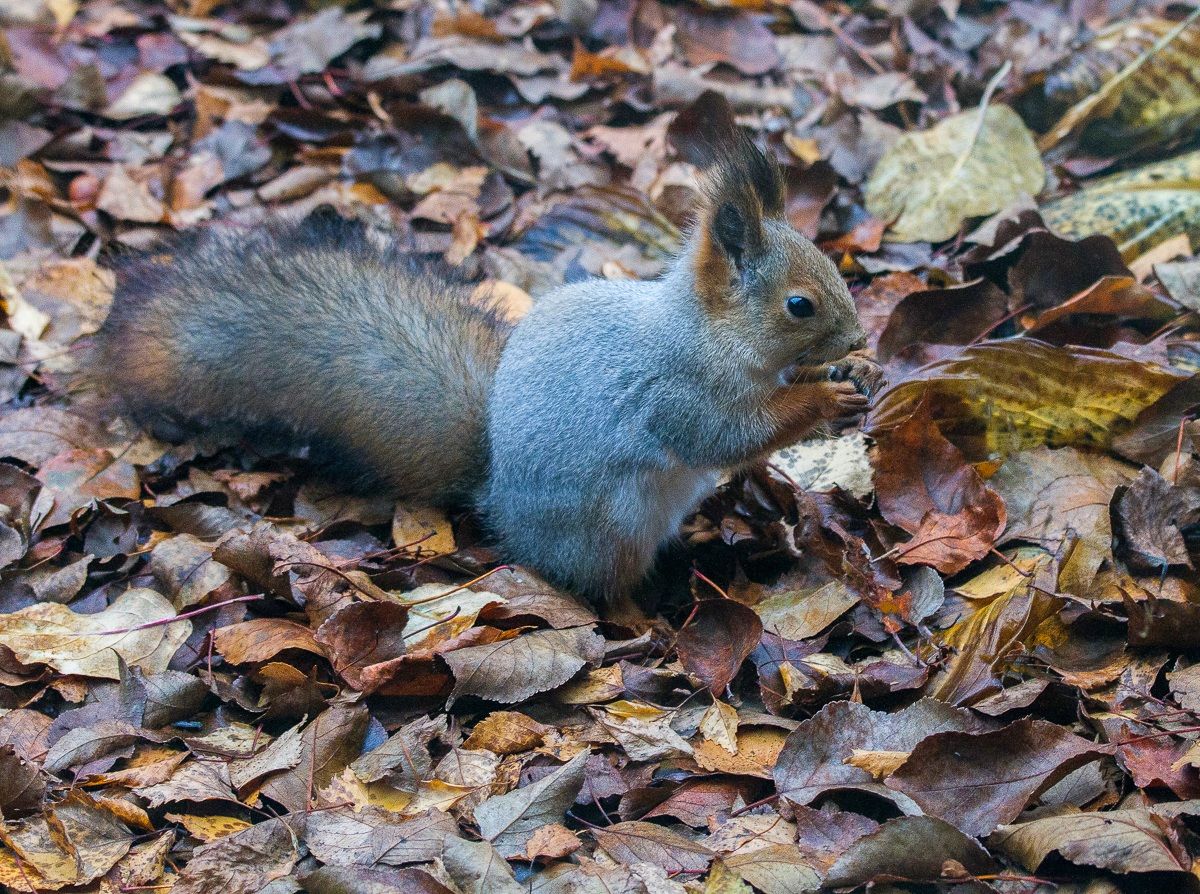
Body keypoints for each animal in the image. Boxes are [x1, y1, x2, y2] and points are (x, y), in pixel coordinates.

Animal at [94, 92, 880, 605]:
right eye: (799, 304)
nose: (857, 335)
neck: (705, 333)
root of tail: (495, 497)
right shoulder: (672, 391)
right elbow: (726, 434)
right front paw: (823, 394)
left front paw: (853, 370)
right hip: (606, 531)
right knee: (598, 585)